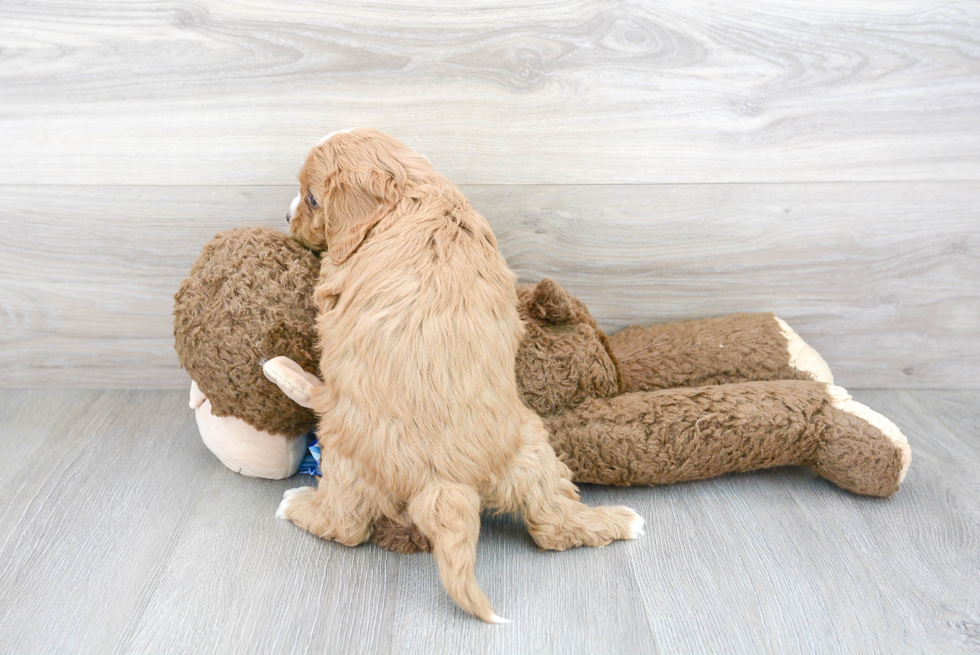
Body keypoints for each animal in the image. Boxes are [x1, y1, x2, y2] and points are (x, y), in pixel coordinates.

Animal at [280, 129, 644, 624]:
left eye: (312, 198)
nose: (286, 216)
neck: (413, 194)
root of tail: (445, 480)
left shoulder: (335, 279)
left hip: (344, 451)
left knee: (346, 525)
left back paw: (297, 503)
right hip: (533, 446)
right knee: (553, 524)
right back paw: (620, 521)